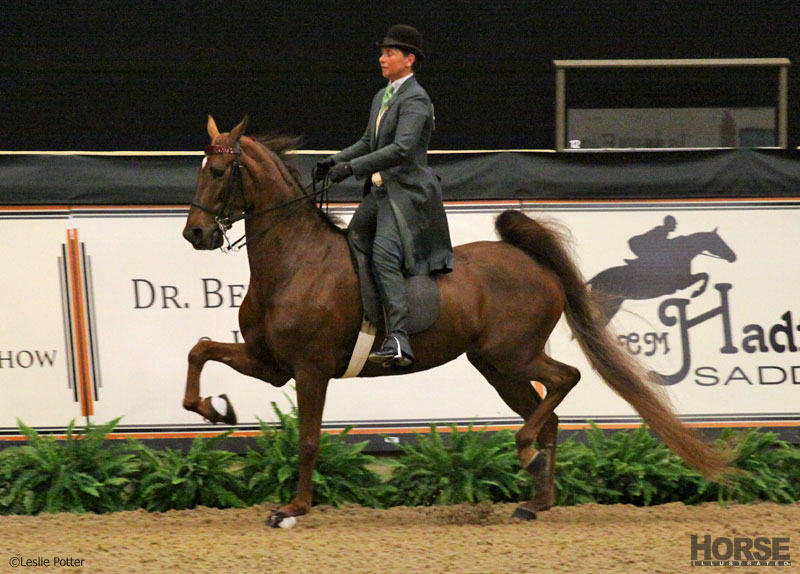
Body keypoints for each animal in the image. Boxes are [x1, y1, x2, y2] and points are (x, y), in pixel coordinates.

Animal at [181, 118, 732, 532]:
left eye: (221, 170)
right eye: (200, 170)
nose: (196, 234)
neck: (295, 260)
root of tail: (529, 260)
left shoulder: (310, 369)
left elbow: (308, 440)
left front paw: (292, 510)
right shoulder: (271, 364)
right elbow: (200, 350)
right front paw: (217, 410)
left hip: (512, 355)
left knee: (565, 379)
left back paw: (528, 456)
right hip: (496, 367)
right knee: (548, 412)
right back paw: (537, 498)